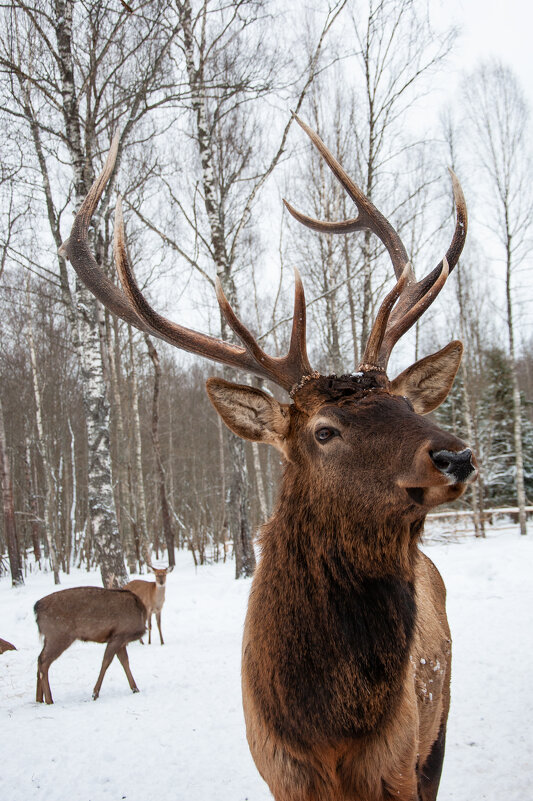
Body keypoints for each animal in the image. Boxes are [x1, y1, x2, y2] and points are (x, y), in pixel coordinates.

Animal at [60, 117, 476, 800]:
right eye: (325, 432)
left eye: (404, 401)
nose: (456, 456)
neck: (328, 726)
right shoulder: (280, 769)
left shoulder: (398, 764)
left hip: (435, 732)